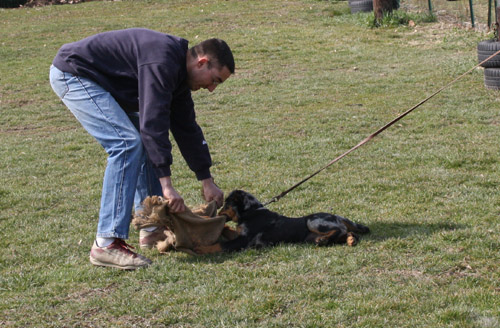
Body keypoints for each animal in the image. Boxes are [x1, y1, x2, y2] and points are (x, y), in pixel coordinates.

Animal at [193, 190, 370, 254]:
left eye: (226, 204)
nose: (218, 212)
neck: (251, 212)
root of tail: (337, 216)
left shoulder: (244, 240)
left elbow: (219, 245)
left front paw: (200, 248)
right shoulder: (240, 235)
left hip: (312, 221)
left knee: (340, 230)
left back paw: (324, 239)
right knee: (348, 232)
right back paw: (349, 240)